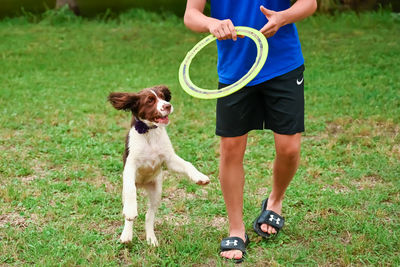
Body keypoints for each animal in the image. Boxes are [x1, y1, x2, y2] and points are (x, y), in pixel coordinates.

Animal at [108, 86, 211, 247]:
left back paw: (151, 239)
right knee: (128, 209)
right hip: (127, 190)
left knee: (149, 216)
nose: (168, 106)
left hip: (156, 191)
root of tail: (143, 184)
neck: (149, 132)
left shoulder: (169, 159)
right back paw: (127, 235)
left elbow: (187, 164)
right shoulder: (130, 165)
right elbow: (131, 192)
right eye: (150, 100)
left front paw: (200, 177)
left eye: (163, 97)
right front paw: (131, 212)